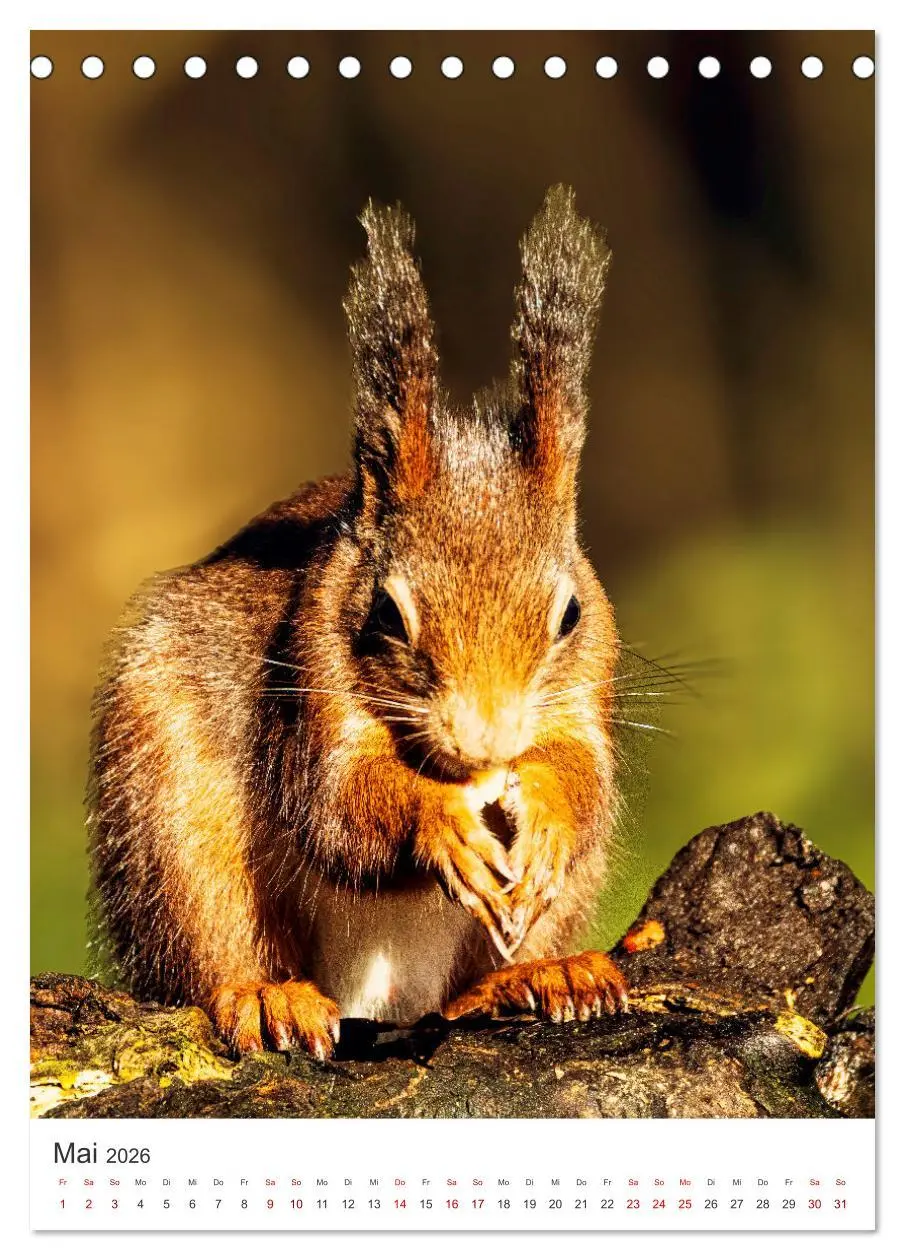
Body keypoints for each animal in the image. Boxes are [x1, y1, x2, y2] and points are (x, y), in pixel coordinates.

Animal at [88, 185, 629, 1060]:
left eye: (569, 613)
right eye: (385, 612)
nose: (487, 742)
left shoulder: (588, 690)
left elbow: (584, 778)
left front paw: (547, 813)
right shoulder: (308, 673)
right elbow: (340, 807)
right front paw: (437, 822)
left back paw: (538, 975)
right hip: (169, 816)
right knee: (211, 944)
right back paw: (265, 994)